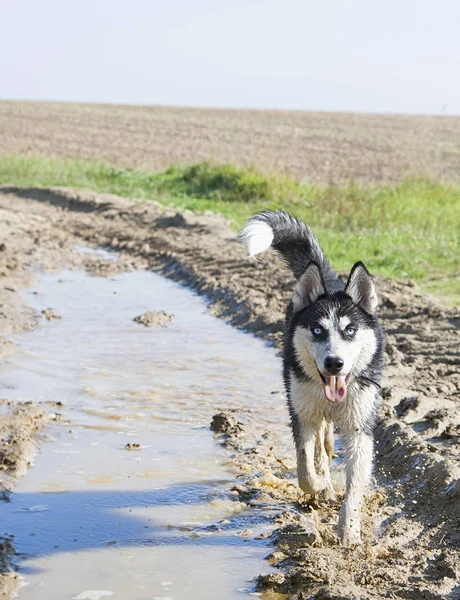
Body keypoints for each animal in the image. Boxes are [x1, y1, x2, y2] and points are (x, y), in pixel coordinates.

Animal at [241, 210, 384, 544]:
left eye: (350, 330)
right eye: (318, 330)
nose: (334, 363)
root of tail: (328, 279)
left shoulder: (359, 428)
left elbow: (354, 487)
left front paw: (350, 534)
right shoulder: (302, 415)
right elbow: (305, 470)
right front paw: (319, 486)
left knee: (328, 446)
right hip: (309, 409)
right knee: (320, 449)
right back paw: (326, 484)